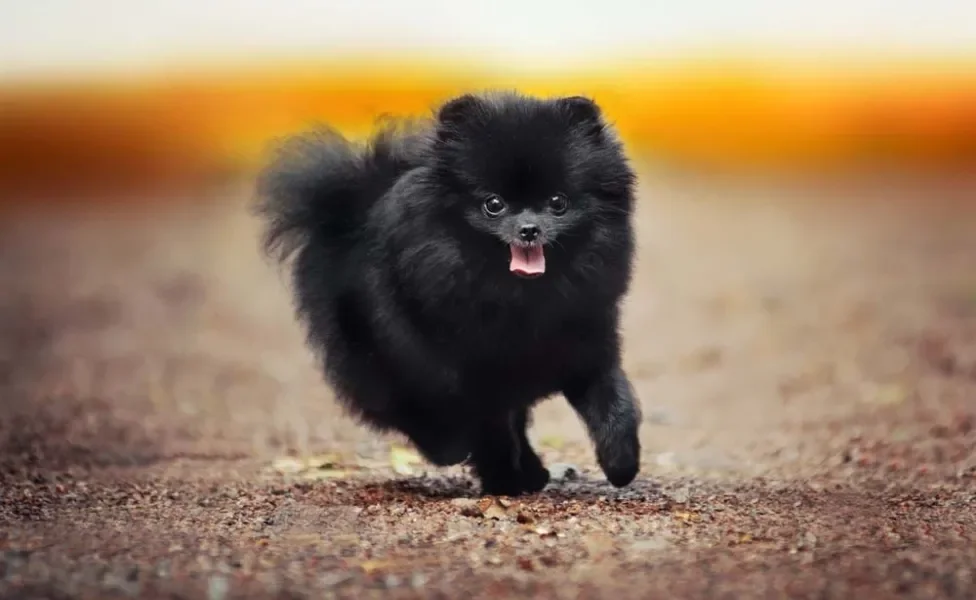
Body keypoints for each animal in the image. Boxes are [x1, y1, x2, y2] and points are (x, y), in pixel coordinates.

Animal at [255, 90, 644, 496]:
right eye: (493, 204)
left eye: (557, 202)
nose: (529, 229)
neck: (522, 298)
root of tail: (349, 211)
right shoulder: (472, 371)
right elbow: (493, 430)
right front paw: (504, 480)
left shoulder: (587, 346)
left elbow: (615, 404)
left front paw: (621, 464)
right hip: (385, 354)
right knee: (417, 412)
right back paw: (455, 450)